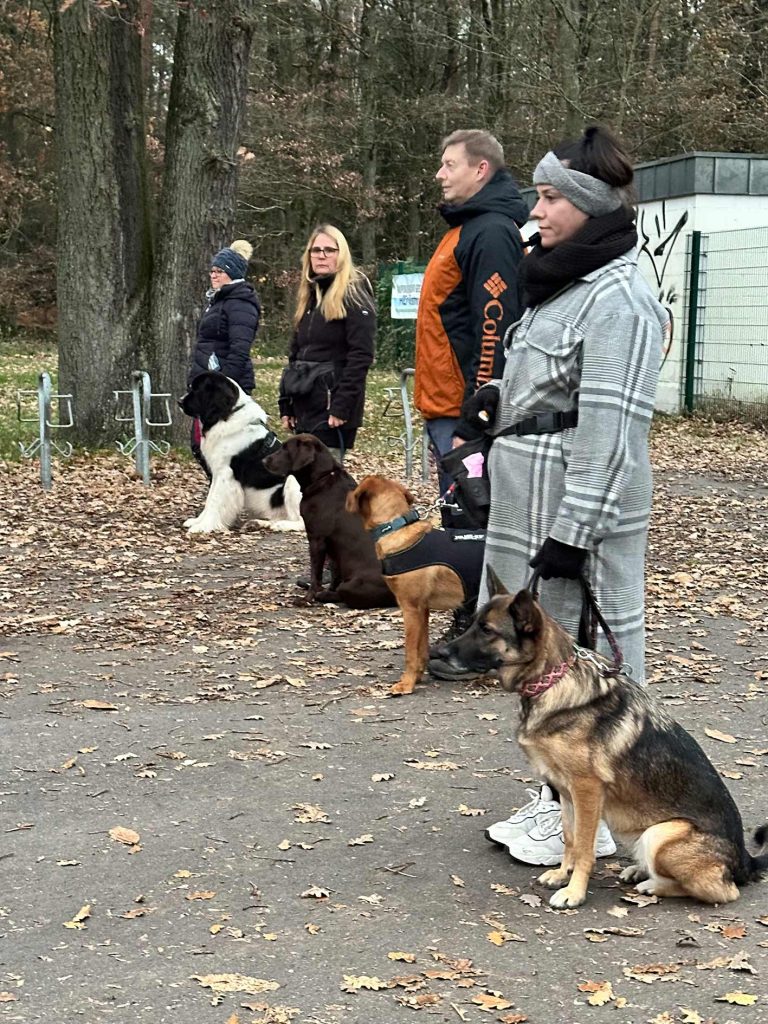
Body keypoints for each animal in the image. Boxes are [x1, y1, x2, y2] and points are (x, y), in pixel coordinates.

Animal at [178, 371, 303, 534]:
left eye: (197, 389)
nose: (179, 402)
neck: (227, 414)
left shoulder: (226, 473)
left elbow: (215, 500)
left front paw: (204, 526)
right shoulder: (217, 472)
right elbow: (210, 498)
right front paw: (197, 521)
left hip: (292, 481)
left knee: (302, 521)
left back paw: (282, 525)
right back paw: (259, 523)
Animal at [263, 435, 396, 609]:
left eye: (285, 448)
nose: (264, 460)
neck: (323, 478)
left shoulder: (317, 539)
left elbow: (315, 575)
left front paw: (307, 599)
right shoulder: (331, 547)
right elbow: (334, 574)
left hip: (352, 584)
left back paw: (324, 595)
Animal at [346, 475, 484, 695]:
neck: (396, 527)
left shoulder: (410, 608)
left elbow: (410, 651)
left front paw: (406, 683)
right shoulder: (423, 609)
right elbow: (422, 649)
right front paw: (418, 676)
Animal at [430, 567, 768, 907]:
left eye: (487, 630)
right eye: (474, 623)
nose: (438, 652)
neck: (554, 680)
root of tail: (744, 860)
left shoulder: (587, 790)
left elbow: (584, 847)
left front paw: (574, 892)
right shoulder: (566, 791)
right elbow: (570, 837)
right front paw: (561, 874)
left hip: (661, 834)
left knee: (721, 891)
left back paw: (652, 886)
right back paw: (639, 871)